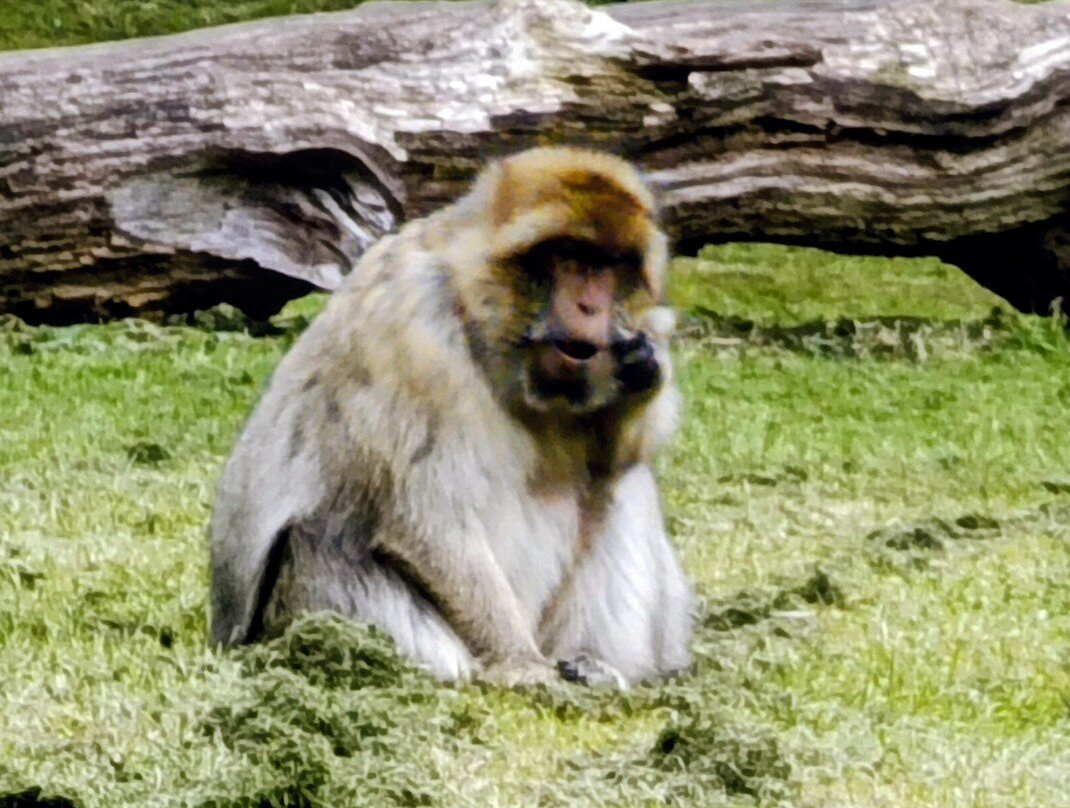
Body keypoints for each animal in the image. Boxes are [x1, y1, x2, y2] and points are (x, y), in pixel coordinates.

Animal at [210, 146, 694, 687]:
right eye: (570, 259)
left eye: (608, 267)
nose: (591, 305)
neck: (477, 316)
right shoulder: (413, 328)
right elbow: (426, 517)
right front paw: (521, 664)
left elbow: (620, 452)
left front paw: (638, 378)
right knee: (315, 540)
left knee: (621, 483)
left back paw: (594, 663)